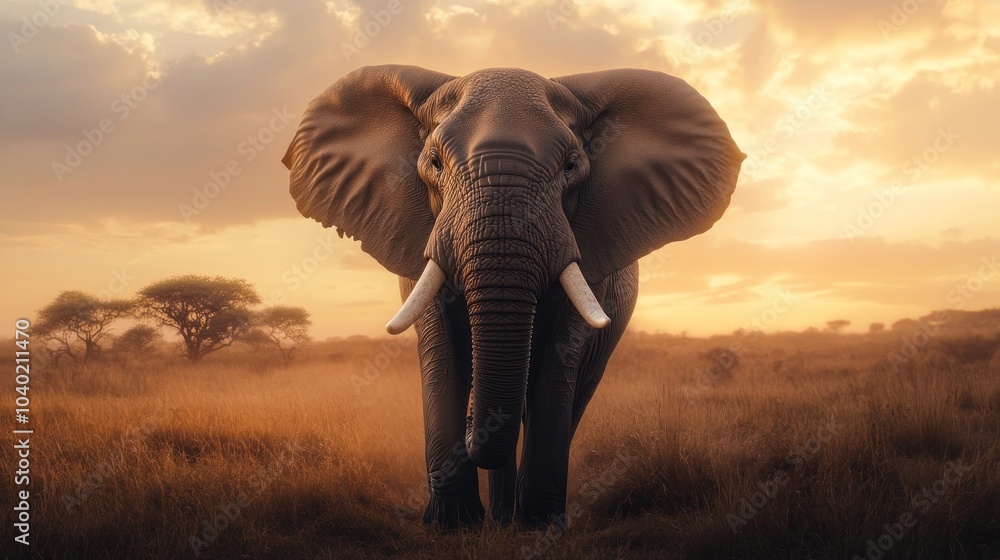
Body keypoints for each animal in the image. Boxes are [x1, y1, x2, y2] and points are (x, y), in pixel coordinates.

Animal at [282, 65, 744, 529]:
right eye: (434, 164)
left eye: (571, 166)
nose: (473, 422)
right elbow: (442, 354)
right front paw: (452, 525)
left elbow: (556, 366)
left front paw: (540, 525)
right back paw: (500, 518)